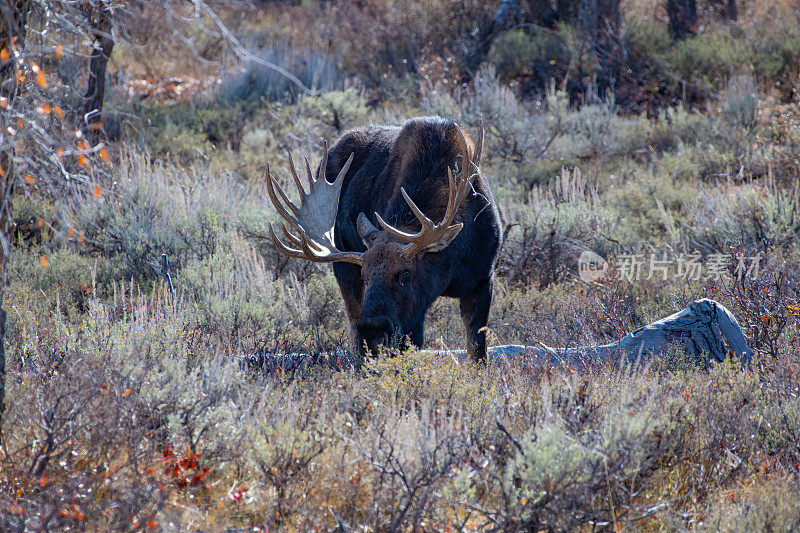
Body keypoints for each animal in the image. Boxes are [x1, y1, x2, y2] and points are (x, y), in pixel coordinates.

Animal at [268, 116, 500, 362]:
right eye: (366, 275)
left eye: (406, 274)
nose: (373, 332)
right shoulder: (409, 318)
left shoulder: (483, 279)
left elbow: (478, 352)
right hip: (343, 267)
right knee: (352, 326)